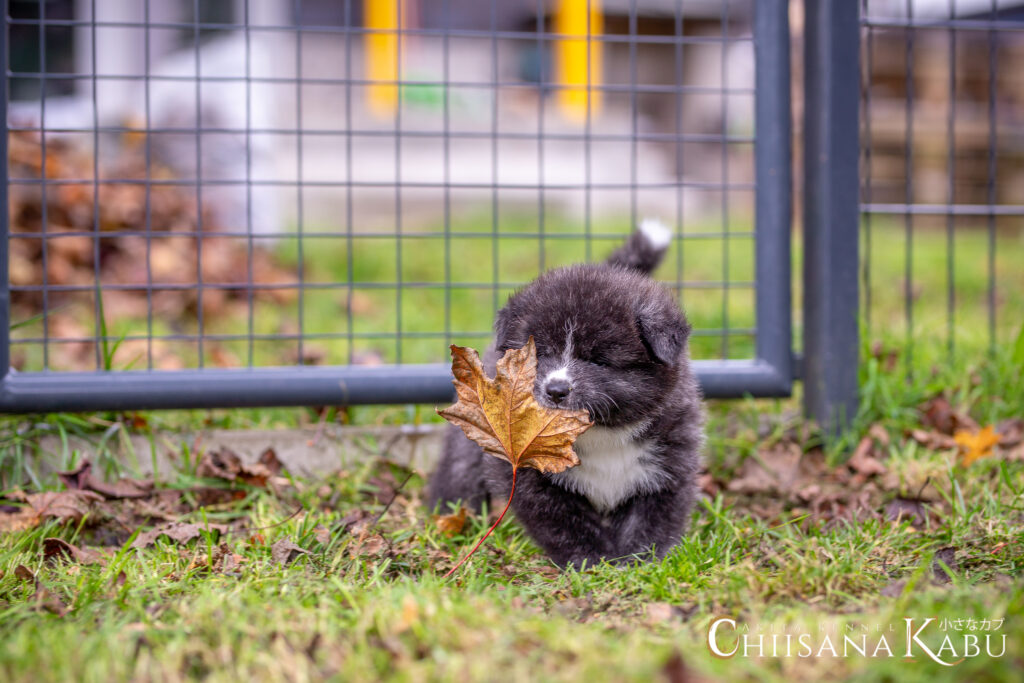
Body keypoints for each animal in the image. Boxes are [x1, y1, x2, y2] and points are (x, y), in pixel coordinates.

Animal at [425, 222, 704, 569]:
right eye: (540, 354)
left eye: (599, 360)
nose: (556, 389)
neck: (601, 436)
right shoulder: (531, 476)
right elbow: (563, 522)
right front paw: (589, 561)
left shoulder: (669, 466)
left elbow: (652, 520)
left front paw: (641, 562)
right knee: (458, 475)